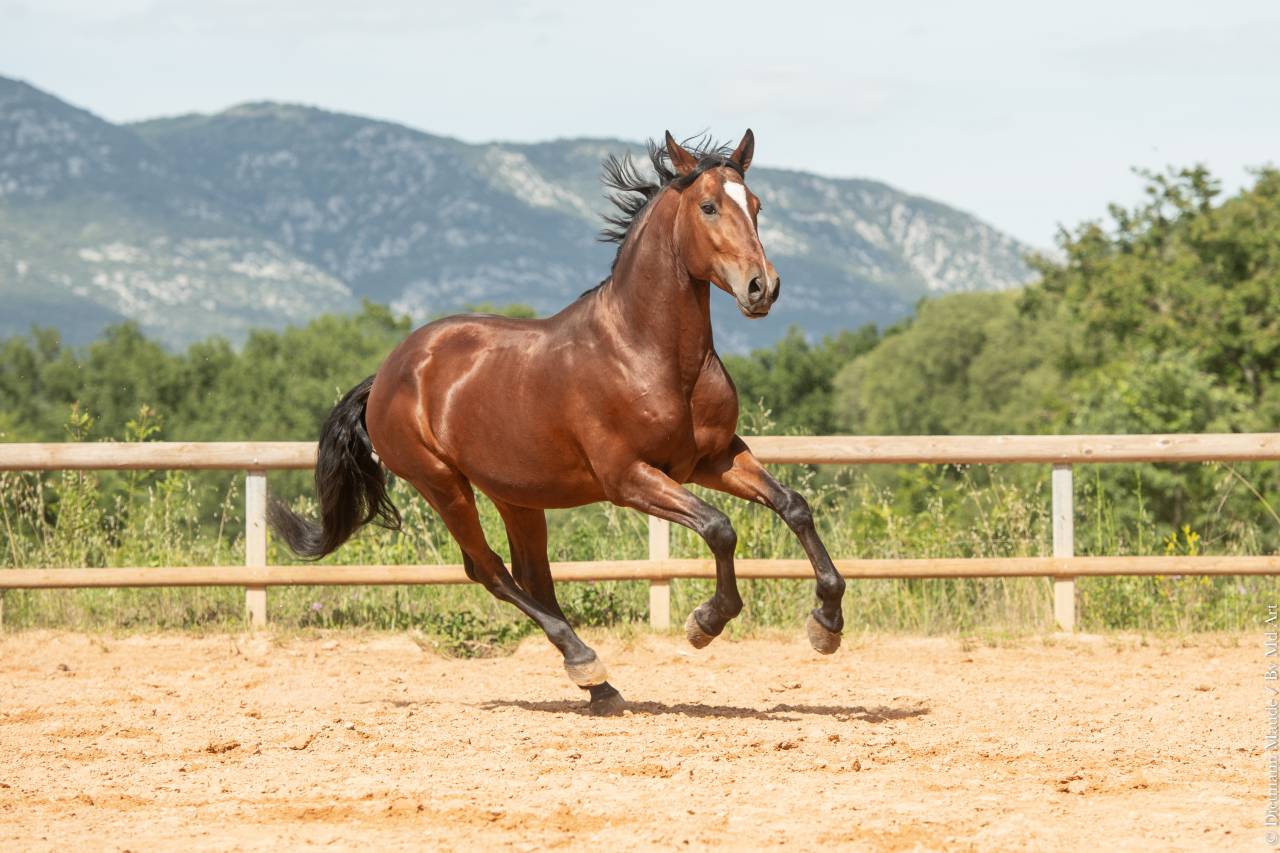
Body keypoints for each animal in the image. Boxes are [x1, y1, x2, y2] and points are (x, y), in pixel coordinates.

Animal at [269, 130, 847, 715]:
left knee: (532, 575)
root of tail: (389, 372)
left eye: (756, 205)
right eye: (708, 206)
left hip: (515, 493)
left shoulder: (713, 458)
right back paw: (585, 661)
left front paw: (826, 623)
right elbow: (719, 527)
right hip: (441, 484)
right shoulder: (628, 478)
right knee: (490, 570)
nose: (762, 288)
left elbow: (794, 506)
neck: (647, 351)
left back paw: (600, 687)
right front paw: (705, 623)